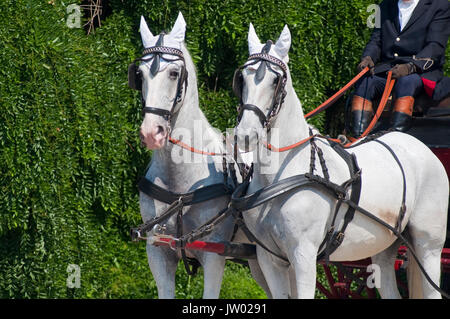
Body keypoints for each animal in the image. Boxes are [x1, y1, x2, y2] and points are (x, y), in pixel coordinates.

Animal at [234, 24, 448, 300]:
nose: (245, 135)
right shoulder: (270, 259)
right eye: (243, 78)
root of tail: (419, 145)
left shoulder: (303, 255)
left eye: (275, 80)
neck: (282, 175)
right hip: (384, 244)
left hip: (428, 245)